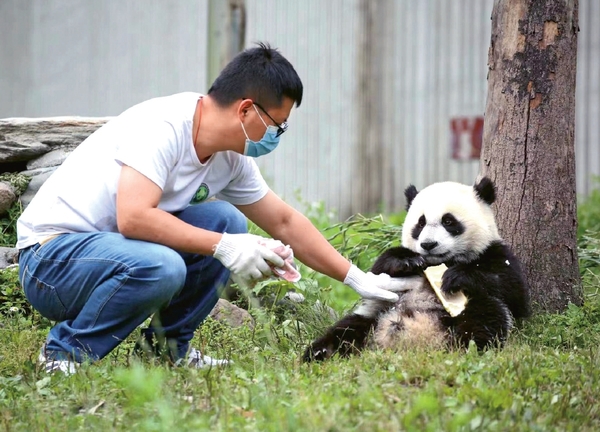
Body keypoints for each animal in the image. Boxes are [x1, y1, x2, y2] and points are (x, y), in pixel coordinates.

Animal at [304, 176, 528, 362]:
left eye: (448, 221)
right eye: (420, 223)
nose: (428, 244)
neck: (440, 262)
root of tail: (420, 340)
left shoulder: (495, 253)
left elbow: (514, 292)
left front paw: (457, 277)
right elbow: (378, 270)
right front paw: (407, 261)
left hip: (466, 311)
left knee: (485, 315)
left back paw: (465, 349)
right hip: (374, 315)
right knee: (345, 329)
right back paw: (319, 353)